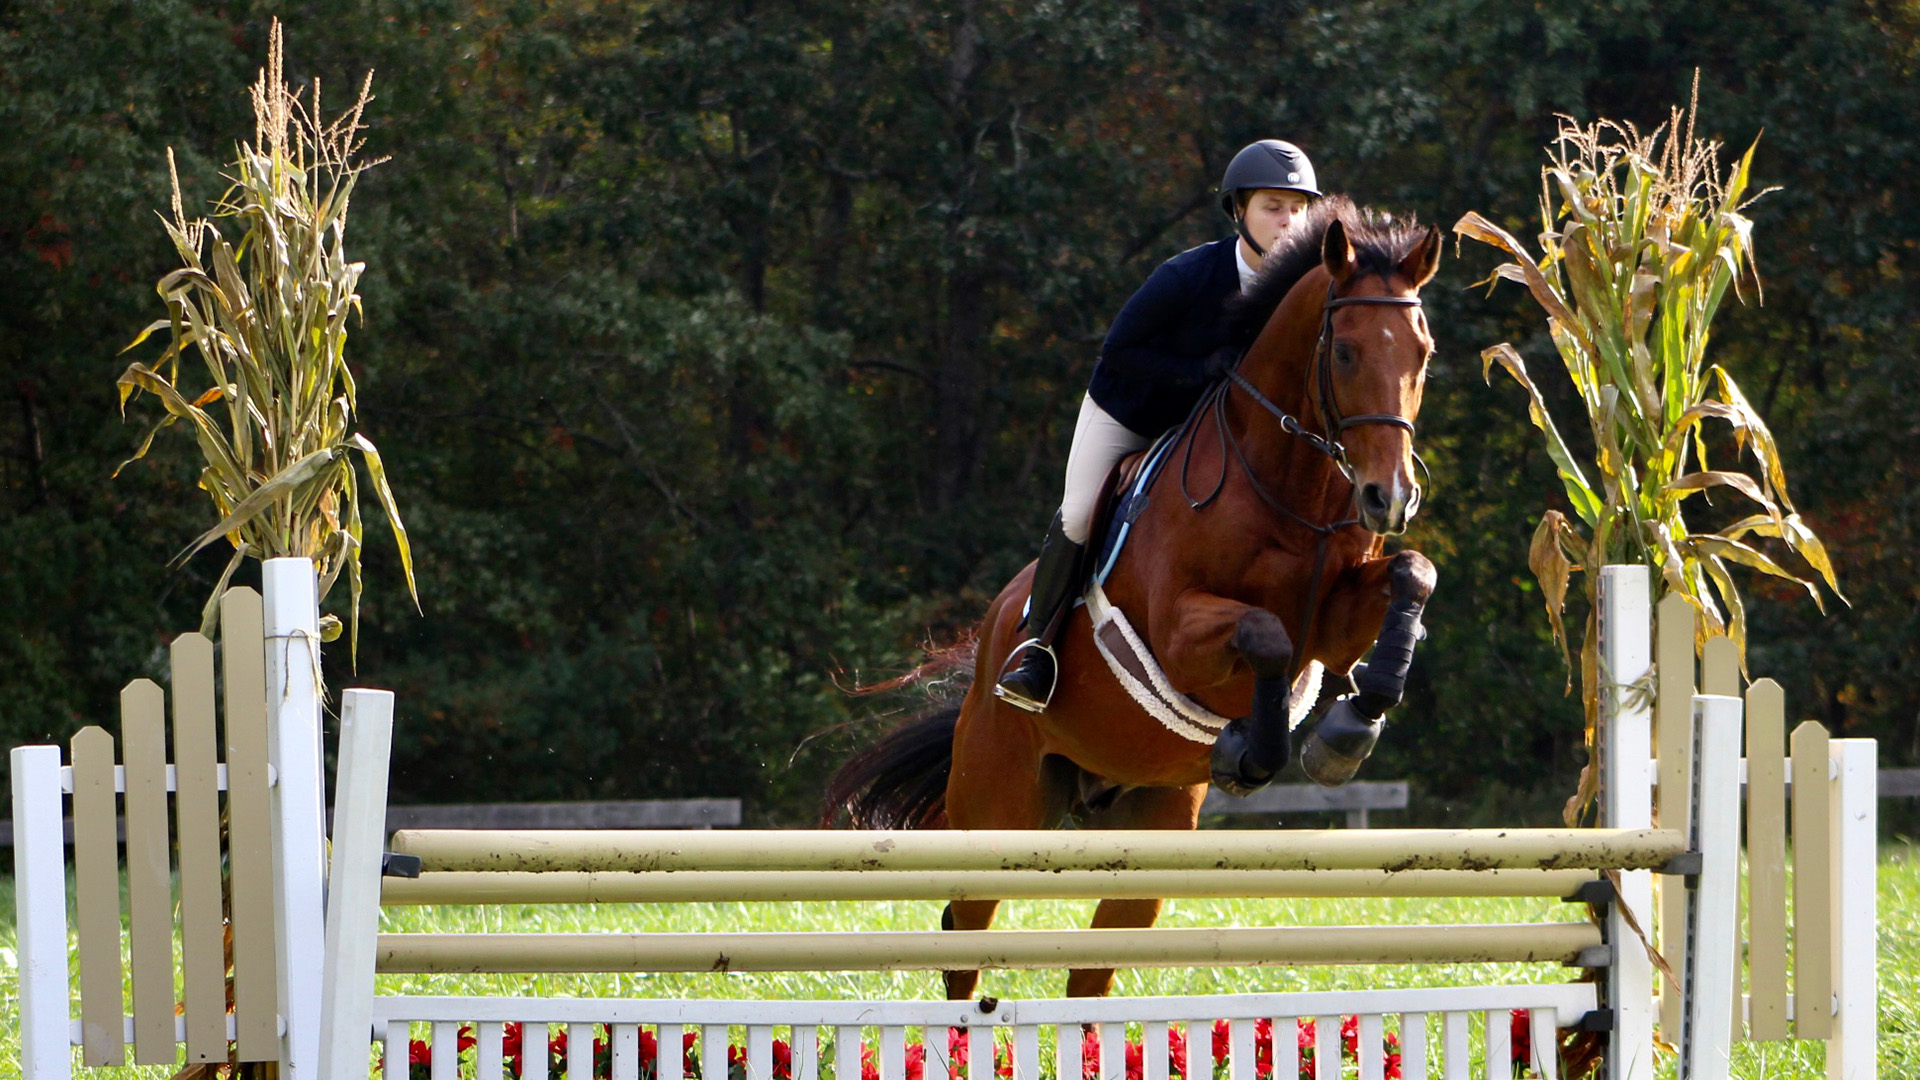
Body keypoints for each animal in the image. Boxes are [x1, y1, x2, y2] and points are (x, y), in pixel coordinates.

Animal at [825, 197, 1443, 999]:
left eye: (1422, 354)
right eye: (1344, 353)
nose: (1389, 498)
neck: (1289, 484)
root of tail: (993, 641)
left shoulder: (1335, 623)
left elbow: (1412, 577)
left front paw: (1350, 729)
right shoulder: (1181, 634)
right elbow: (1265, 634)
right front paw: (1258, 748)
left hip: (1149, 823)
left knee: (1091, 964)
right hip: (997, 807)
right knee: (965, 932)